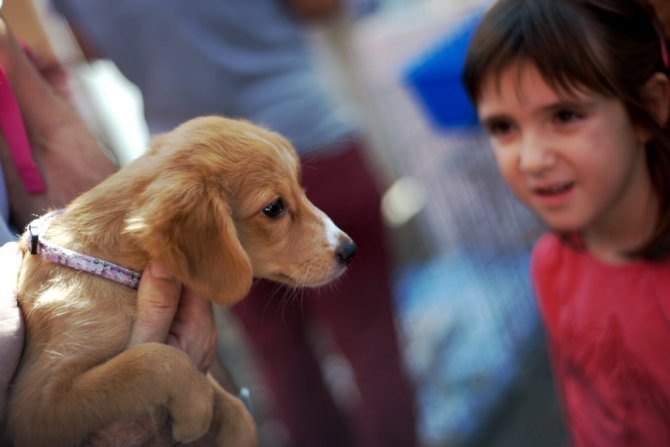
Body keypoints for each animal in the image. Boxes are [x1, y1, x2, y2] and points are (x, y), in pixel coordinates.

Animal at [5, 116, 360, 447]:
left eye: (300, 188)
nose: (350, 250)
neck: (110, 267)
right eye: (273, 208)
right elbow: (154, 361)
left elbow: (235, 408)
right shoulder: (37, 405)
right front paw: (195, 413)